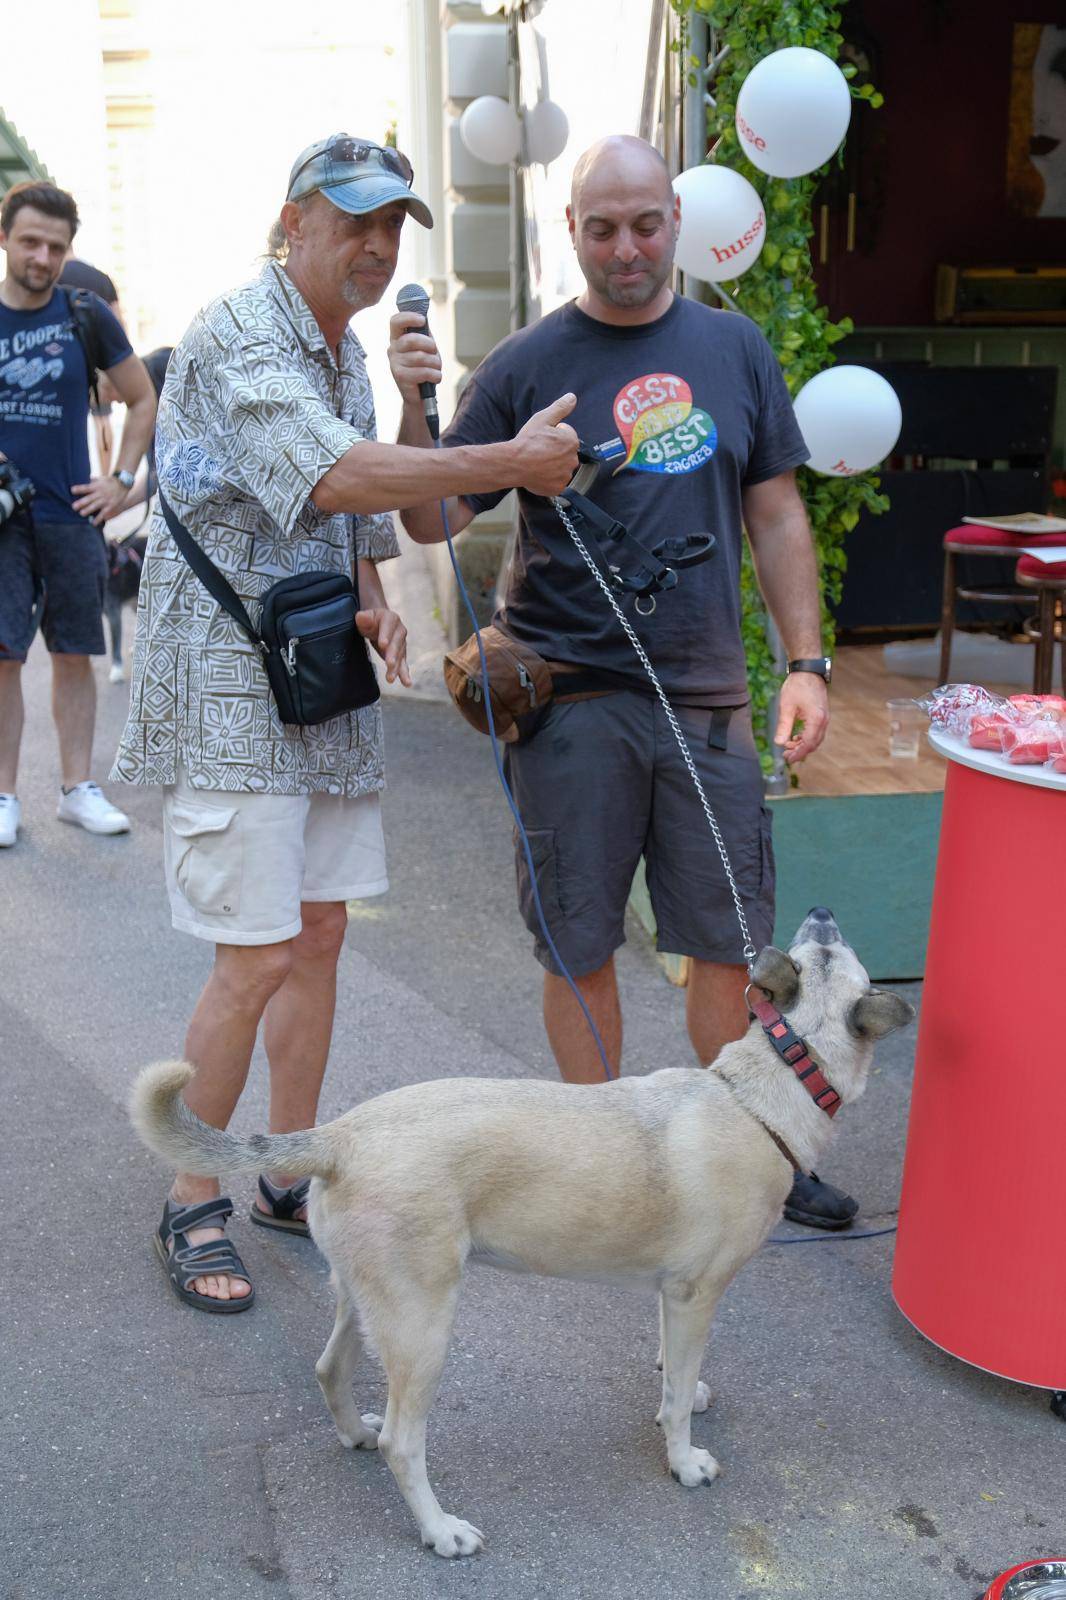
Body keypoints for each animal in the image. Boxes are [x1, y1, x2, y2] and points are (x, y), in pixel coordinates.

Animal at [132, 908, 909, 1555]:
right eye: (833, 949)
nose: (824, 912)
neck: (761, 1093)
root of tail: (340, 1135)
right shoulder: (696, 1295)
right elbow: (678, 1393)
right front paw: (683, 1458)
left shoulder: (671, 1296)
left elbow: (672, 1369)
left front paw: (682, 1399)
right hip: (424, 1325)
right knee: (404, 1444)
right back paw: (440, 1530)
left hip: (369, 1300)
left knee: (331, 1371)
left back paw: (355, 1433)